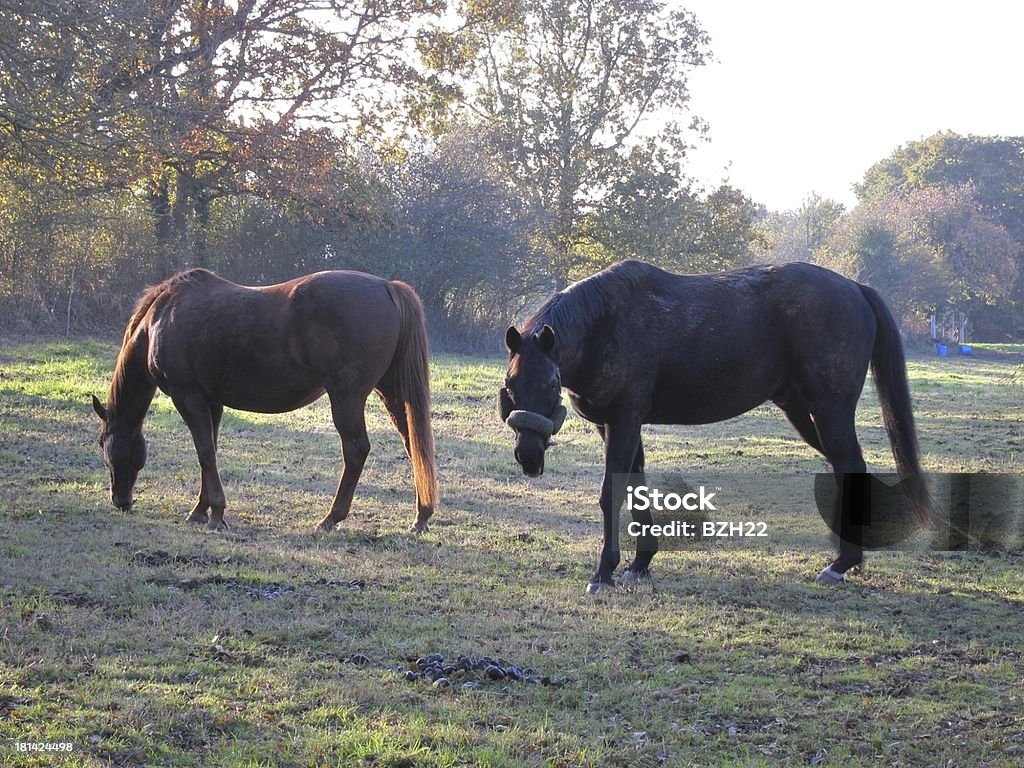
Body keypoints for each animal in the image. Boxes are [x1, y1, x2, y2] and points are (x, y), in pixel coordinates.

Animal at [91, 272, 436, 536]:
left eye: (103, 443)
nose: (121, 501)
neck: (159, 320)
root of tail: (386, 286)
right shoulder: (211, 402)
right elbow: (210, 451)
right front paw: (201, 510)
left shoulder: (187, 396)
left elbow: (204, 452)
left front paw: (216, 514)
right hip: (391, 392)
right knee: (414, 445)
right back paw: (421, 517)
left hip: (347, 398)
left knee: (356, 451)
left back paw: (330, 519)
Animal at [497, 262, 937, 593]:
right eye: (511, 386)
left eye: (550, 383)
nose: (528, 456)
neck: (606, 324)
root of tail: (855, 288)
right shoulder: (619, 425)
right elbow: (637, 487)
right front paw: (640, 562)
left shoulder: (623, 420)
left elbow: (613, 494)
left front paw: (604, 572)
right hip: (803, 411)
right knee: (846, 467)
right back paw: (850, 559)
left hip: (830, 412)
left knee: (849, 465)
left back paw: (843, 562)